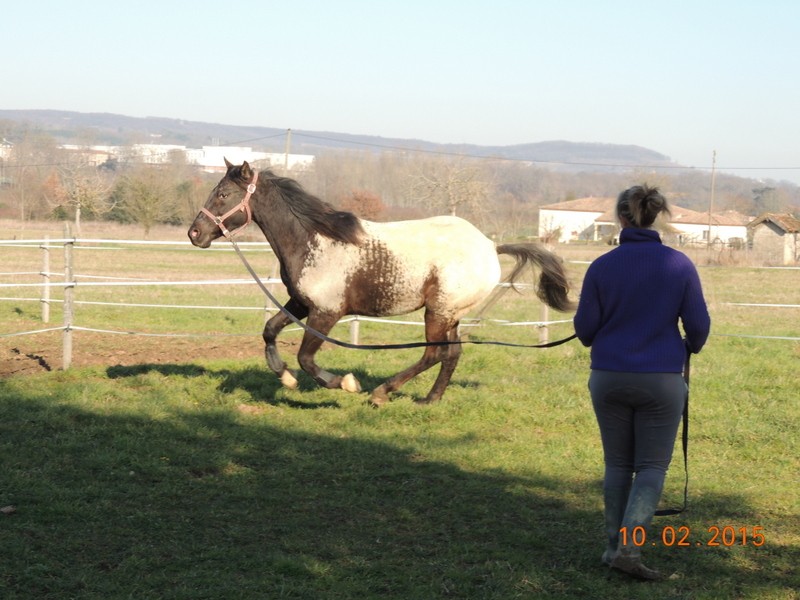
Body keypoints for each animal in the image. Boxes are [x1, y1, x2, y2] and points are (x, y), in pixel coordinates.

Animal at [189, 159, 576, 406]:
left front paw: (344, 383)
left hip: (437, 312)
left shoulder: (327, 312)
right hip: (451, 314)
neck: (313, 239)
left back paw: (381, 393)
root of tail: (490, 246)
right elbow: (270, 330)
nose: (195, 233)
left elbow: (306, 358)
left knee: (434, 353)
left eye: (222, 195)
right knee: (452, 353)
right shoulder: (300, 302)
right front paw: (285, 377)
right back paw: (429, 400)